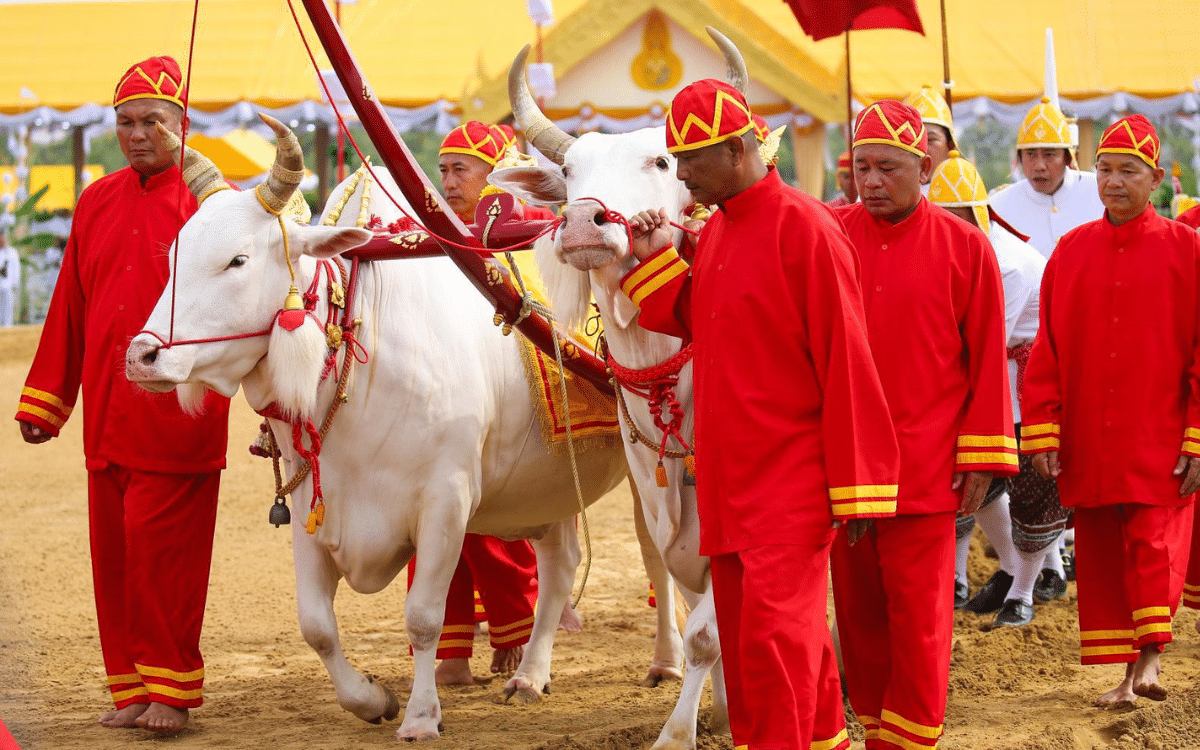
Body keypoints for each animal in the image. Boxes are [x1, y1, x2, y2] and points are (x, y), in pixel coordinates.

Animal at [123, 120, 676, 739]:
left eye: (237, 260)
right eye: (175, 253)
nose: (142, 356)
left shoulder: (445, 502)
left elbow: (422, 619)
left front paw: (419, 716)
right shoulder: (313, 509)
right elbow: (316, 625)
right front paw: (371, 698)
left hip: (638, 464)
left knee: (655, 557)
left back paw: (666, 662)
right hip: (547, 482)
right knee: (560, 568)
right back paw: (531, 675)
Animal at [480, 30, 744, 748]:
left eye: (662, 159)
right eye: (571, 170)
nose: (581, 224)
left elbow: (712, 628)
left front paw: (683, 730)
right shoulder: (658, 498)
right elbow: (696, 600)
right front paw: (723, 713)